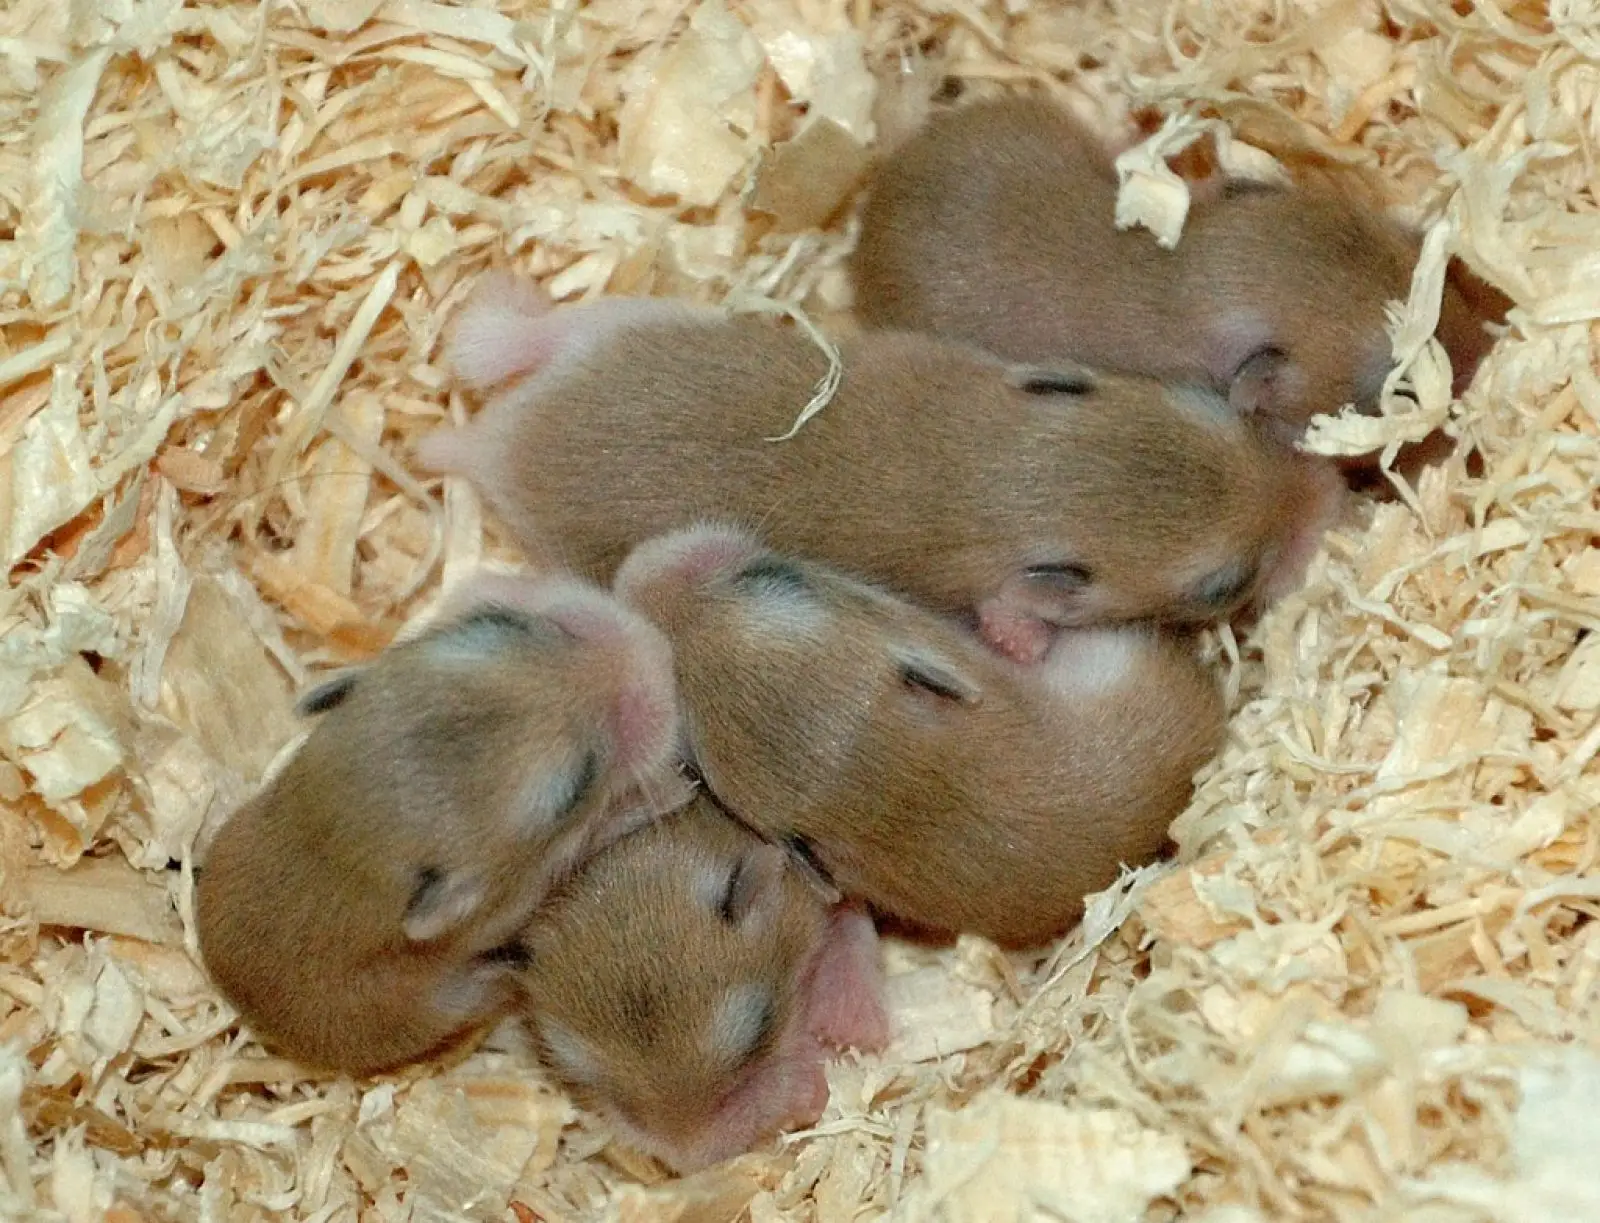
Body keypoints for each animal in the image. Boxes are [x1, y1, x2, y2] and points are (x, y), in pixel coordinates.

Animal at [195, 572, 690, 1076]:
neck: (335, 835)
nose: (658, 650)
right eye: (579, 782)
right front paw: (675, 791)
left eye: (504, 623)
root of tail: (248, 1010)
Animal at [418, 270, 1343, 663]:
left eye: (1210, 405)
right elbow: (1017, 627)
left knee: (524, 339)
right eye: (1223, 586)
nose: (1328, 491)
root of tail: (494, 443)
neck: (996, 469)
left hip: (614, 326)